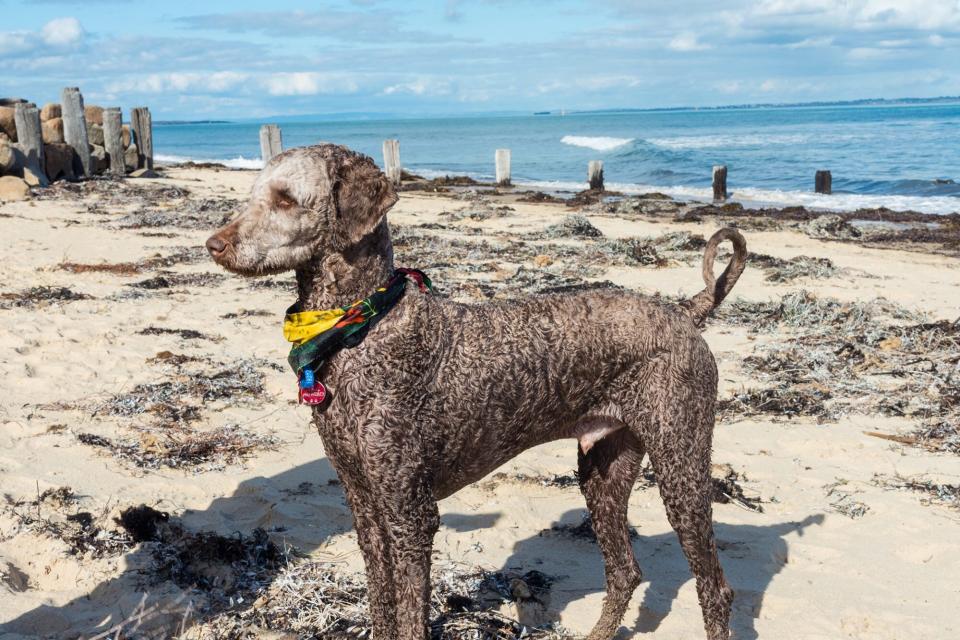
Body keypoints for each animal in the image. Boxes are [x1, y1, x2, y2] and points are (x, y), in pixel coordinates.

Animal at [208, 145, 752, 640]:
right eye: (255, 192)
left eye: (285, 198)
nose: (214, 244)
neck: (360, 326)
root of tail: (684, 310)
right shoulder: (364, 504)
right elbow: (381, 605)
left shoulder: (410, 513)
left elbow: (410, 617)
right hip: (604, 470)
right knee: (624, 573)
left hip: (681, 465)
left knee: (715, 588)